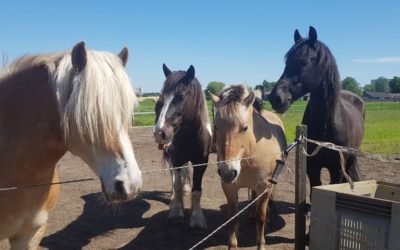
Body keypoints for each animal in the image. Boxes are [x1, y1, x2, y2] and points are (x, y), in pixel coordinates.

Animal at [153, 64, 212, 229]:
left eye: (181, 96)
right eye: (162, 98)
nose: (159, 133)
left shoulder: (201, 162)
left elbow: (197, 190)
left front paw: (197, 219)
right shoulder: (176, 159)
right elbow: (177, 184)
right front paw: (177, 212)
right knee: (174, 177)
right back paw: (174, 196)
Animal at [211, 85, 286, 249]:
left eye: (244, 128)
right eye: (216, 126)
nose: (228, 172)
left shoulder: (265, 186)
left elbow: (261, 217)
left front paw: (261, 244)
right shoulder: (229, 187)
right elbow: (233, 218)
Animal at [268, 26, 366, 191]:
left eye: (304, 62)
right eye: (287, 62)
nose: (276, 98)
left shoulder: (337, 170)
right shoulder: (312, 168)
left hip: (352, 156)